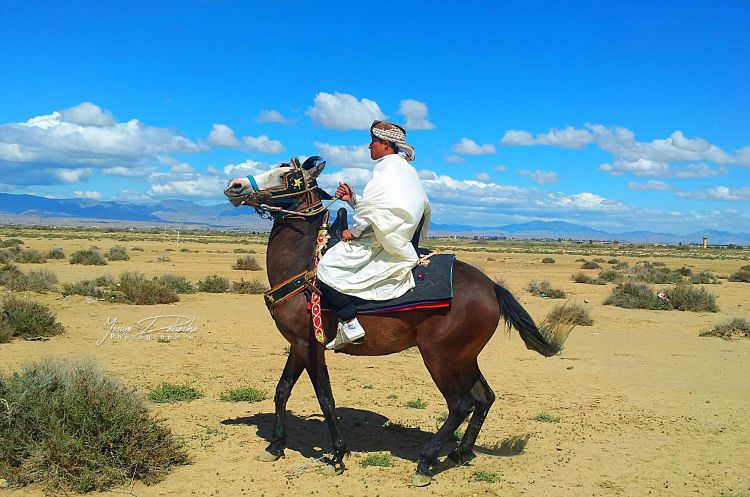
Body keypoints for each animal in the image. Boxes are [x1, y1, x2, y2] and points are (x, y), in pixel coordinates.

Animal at [226, 158, 568, 484]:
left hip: (439, 357)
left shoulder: (310, 344)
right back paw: (459, 453)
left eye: (287, 175)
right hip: (464, 357)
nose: (235, 184)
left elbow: (325, 398)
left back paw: (426, 461)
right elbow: (282, 389)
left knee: (461, 404)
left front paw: (337, 456)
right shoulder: (297, 345)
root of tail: (492, 288)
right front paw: (275, 446)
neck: (303, 263)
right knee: (484, 397)